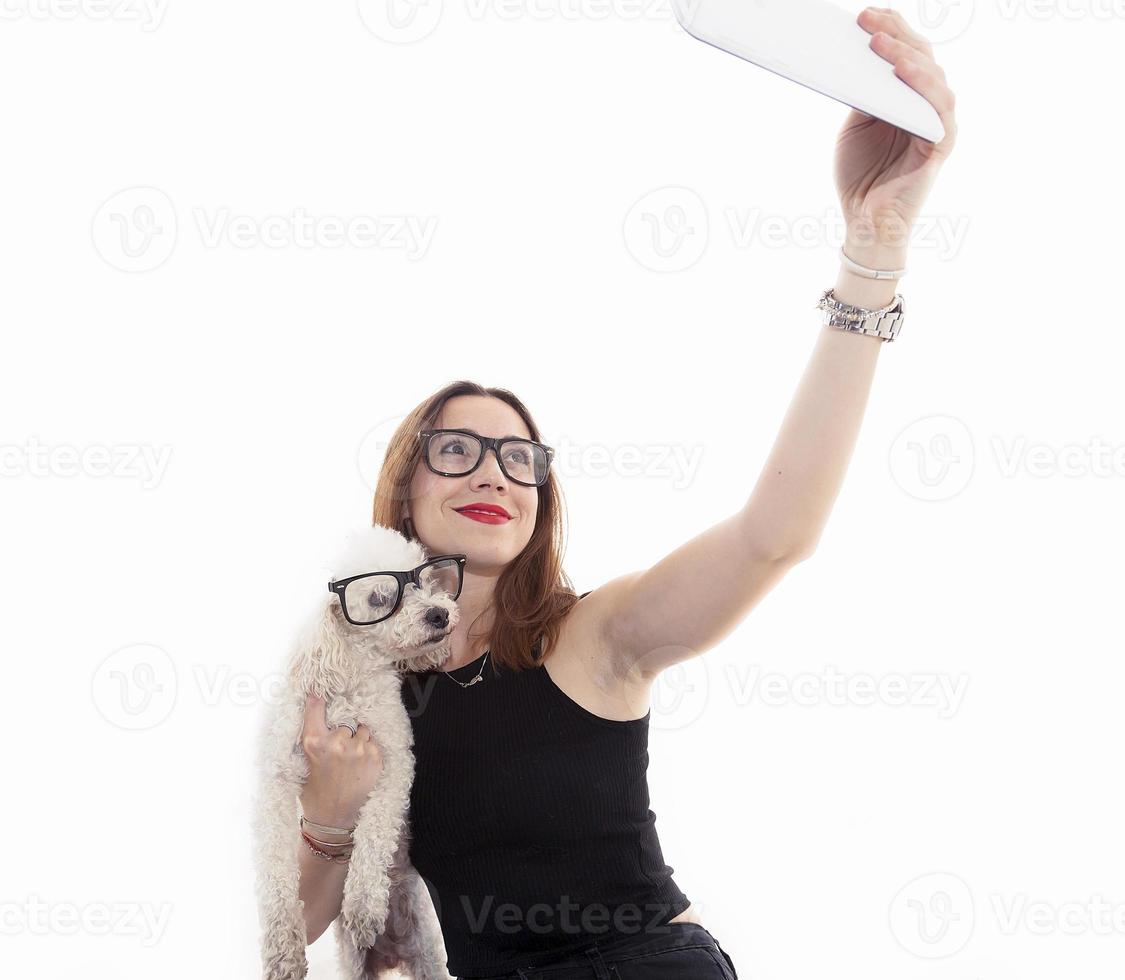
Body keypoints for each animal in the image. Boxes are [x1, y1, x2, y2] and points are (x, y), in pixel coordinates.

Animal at [253, 528, 459, 980]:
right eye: (382, 598)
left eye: (424, 581)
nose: (439, 614)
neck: (350, 678)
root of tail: (394, 953)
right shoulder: (276, 780)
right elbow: (275, 870)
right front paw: (283, 947)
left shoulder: (396, 766)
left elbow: (374, 831)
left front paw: (364, 905)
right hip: (353, 964)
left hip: (429, 955)